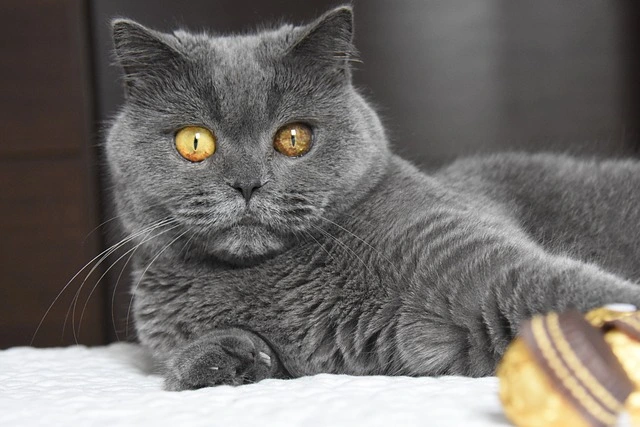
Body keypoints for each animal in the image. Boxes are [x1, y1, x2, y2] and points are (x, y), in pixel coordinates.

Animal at [106, 5, 640, 392]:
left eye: (294, 138)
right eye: (194, 141)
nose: (247, 183)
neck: (265, 277)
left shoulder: (483, 263)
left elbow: (579, 291)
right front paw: (221, 357)